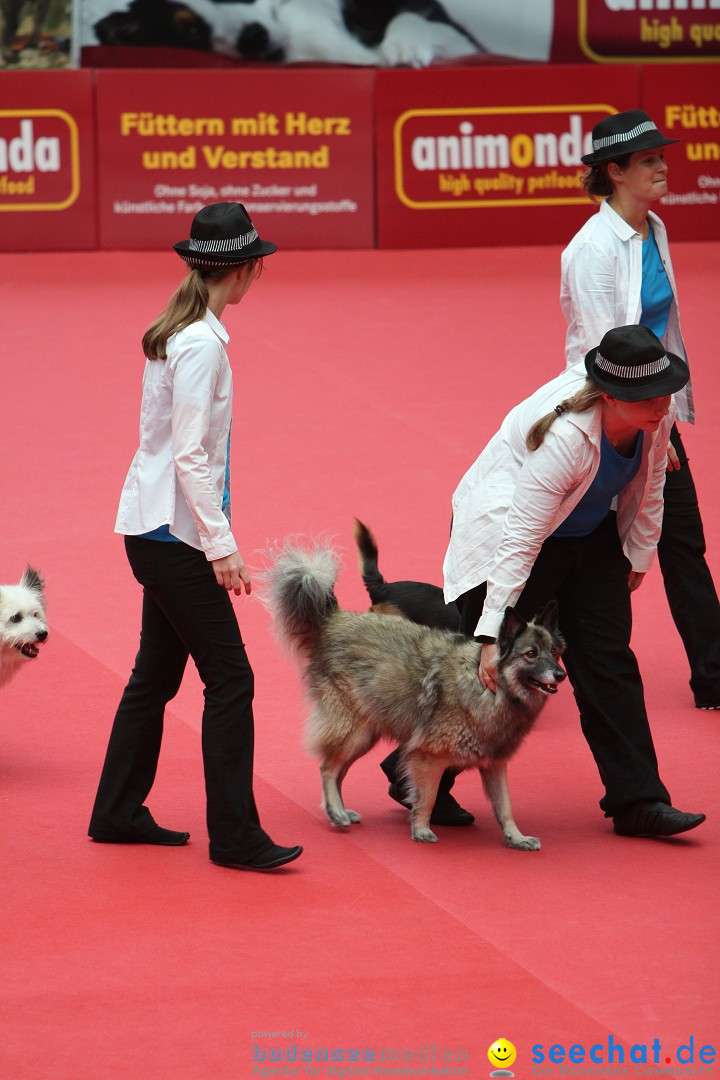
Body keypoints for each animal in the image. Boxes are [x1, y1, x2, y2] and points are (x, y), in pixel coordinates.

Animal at [264, 544, 569, 846]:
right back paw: (336, 812)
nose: (560, 675)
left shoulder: (494, 764)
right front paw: (421, 829)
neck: (489, 687)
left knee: (338, 771)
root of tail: (335, 620)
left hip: (364, 736)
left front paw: (516, 837)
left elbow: (505, 805)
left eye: (554, 651)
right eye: (531, 654)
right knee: (327, 768)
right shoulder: (428, 757)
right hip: (353, 732)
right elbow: (428, 798)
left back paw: (338, 810)